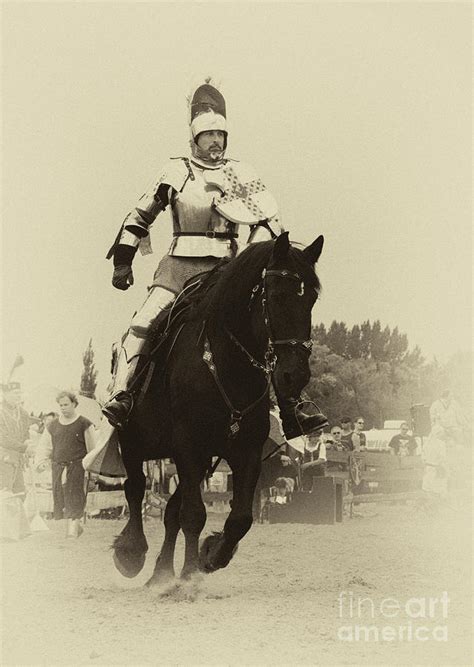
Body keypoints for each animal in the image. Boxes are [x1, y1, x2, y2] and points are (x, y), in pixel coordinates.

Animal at [113, 234, 324, 584]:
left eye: (312, 299)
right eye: (277, 295)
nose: (295, 375)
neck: (225, 364)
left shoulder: (244, 451)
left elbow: (239, 518)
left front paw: (210, 555)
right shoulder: (187, 446)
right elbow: (193, 514)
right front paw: (188, 575)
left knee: (170, 511)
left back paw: (162, 572)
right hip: (134, 441)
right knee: (135, 488)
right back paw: (132, 552)